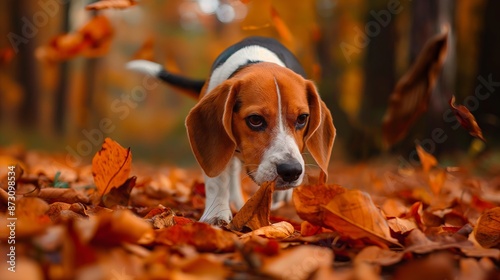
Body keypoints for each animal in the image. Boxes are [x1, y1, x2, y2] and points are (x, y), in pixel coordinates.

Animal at [128, 36, 336, 224]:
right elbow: (217, 178)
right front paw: (216, 213)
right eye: (255, 120)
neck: (256, 60)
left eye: (302, 118)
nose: (291, 171)